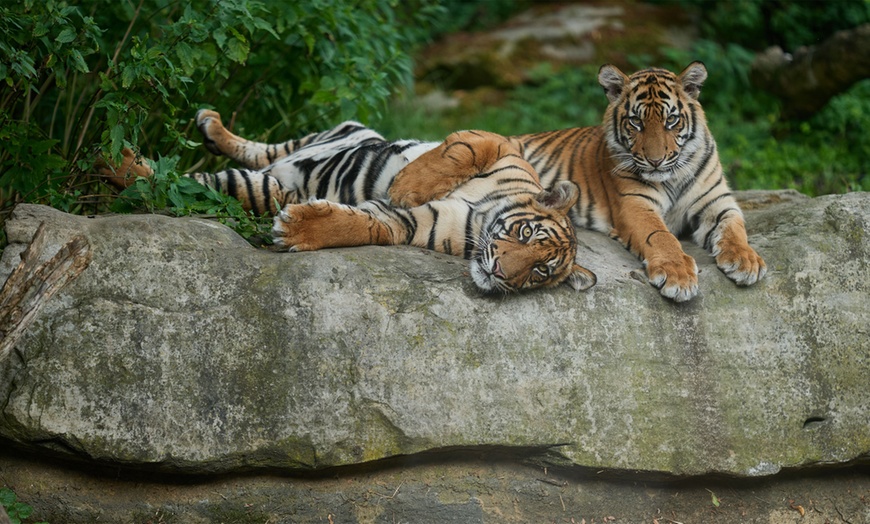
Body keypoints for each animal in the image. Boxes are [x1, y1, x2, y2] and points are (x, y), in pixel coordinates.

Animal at [102, 110, 600, 294]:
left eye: (539, 273)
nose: (499, 274)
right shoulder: (499, 143)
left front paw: (297, 229)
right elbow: (458, 154)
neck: (477, 220)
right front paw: (406, 183)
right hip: (320, 136)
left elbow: (364, 224)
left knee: (200, 180)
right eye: (526, 232)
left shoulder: (410, 225)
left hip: (263, 186)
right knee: (240, 156)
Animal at [392, 60, 768, 302]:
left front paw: (746, 261)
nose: (655, 159)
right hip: (503, 146)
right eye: (635, 122)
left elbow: (735, 227)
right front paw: (678, 274)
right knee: (467, 140)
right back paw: (405, 187)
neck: (673, 173)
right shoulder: (634, 204)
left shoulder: (718, 202)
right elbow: (659, 235)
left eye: (671, 121)